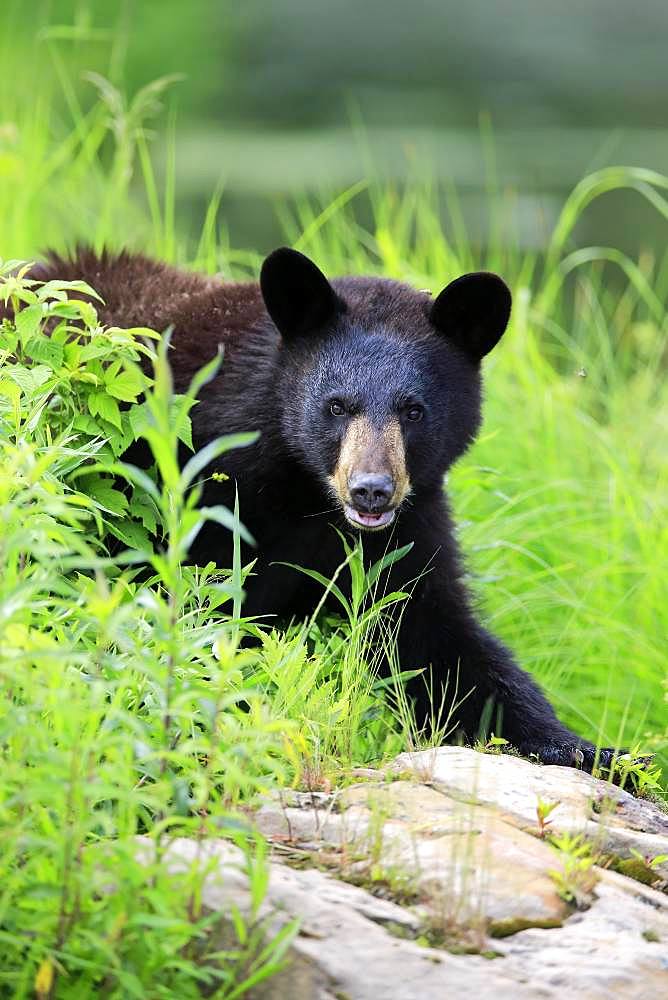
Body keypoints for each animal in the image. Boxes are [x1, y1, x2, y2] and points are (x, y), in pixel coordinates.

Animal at [26, 246, 620, 768]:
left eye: (413, 410)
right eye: (336, 406)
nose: (371, 489)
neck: (305, 495)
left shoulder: (409, 526)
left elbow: (439, 643)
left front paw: (590, 751)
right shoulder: (199, 497)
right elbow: (197, 615)